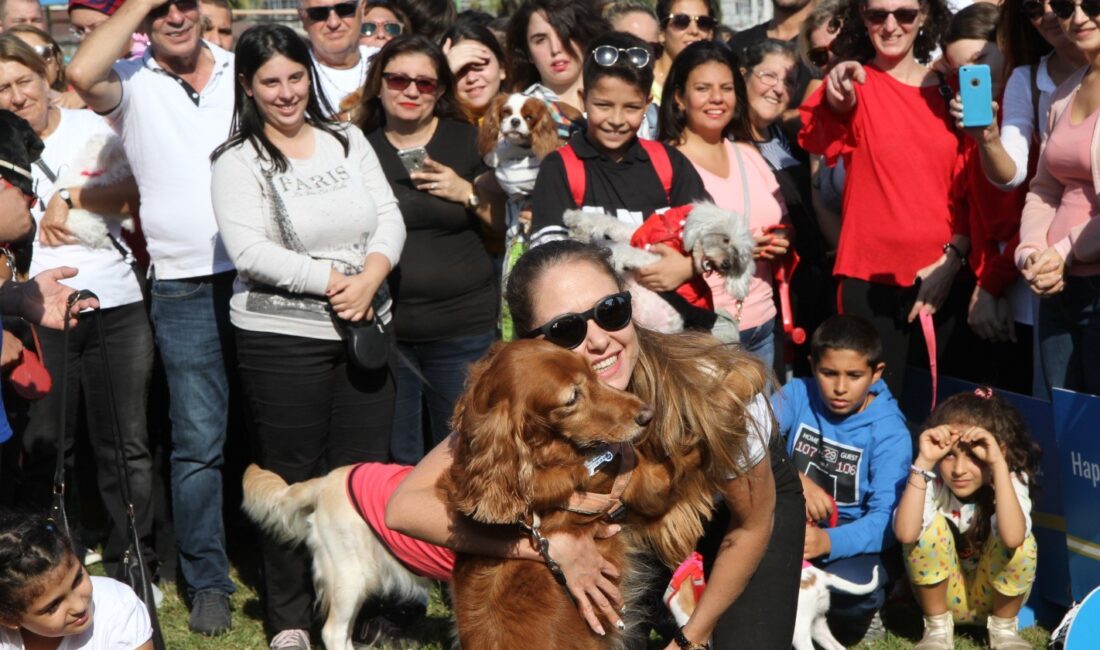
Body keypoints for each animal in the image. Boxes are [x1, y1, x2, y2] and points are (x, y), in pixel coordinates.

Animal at [567, 202, 756, 336]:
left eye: (738, 255)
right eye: (726, 239)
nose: (726, 265)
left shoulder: (658, 261)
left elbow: (625, 249)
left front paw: (611, 253)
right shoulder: (637, 235)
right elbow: (610, 222)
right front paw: (576, 220)